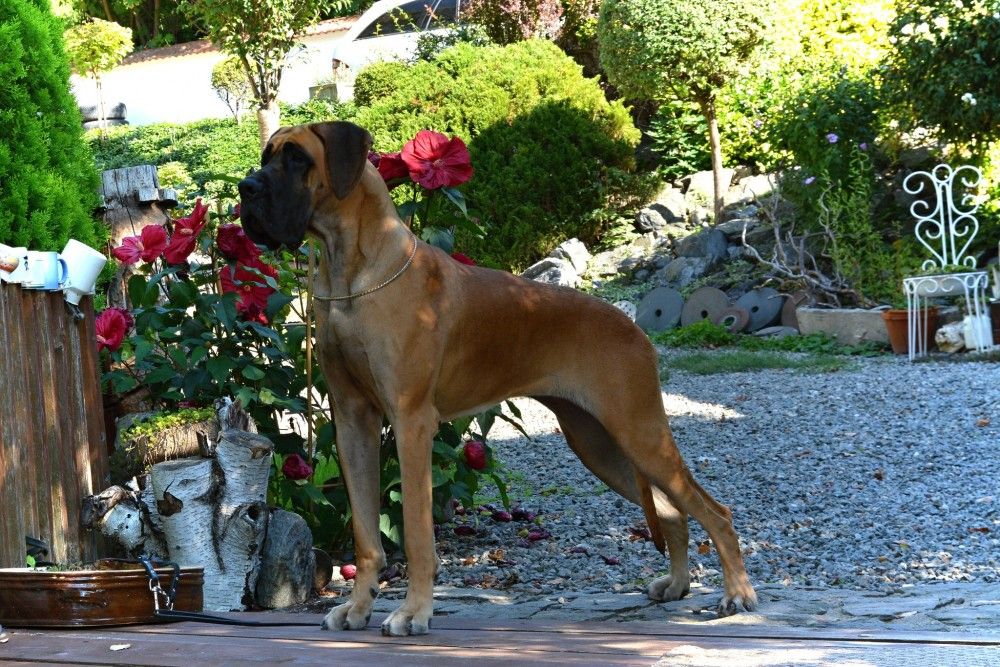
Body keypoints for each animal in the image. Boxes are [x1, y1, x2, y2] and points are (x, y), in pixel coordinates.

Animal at [238, 121, 757, 636]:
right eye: (266, 156)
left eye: (297, 158)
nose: (246, 188)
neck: (351, 275)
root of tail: (634, 326)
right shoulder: (352, 424)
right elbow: (367, 534)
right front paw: (359, 607)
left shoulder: (410, 423)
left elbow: (418, 534)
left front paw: (413, 611)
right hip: (601, 445)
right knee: (672, 512)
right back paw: (678, 585)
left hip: (638, 433)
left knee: (714, 511)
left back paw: (737, 593)